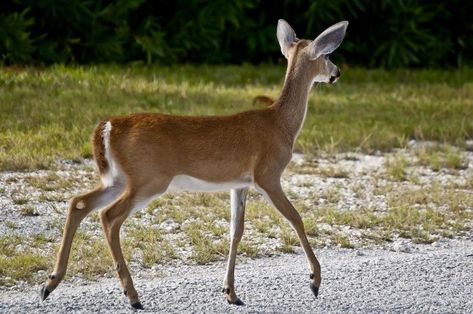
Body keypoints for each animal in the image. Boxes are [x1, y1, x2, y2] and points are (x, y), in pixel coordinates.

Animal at [40, 19, 348, 310]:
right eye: (328, 55)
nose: (337, 73)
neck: (281, 125)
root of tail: (108, 126)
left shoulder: (240, 184)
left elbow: (236, 231)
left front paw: (230, 293)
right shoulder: (268, 175)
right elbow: (296, 217)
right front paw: (315, 280)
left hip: (118, 178)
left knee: (79, 203)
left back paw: (50, 283)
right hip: (149, 178)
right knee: (108, 216)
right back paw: (132, 296)